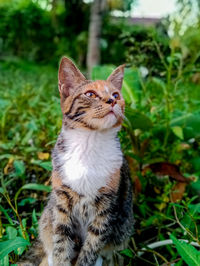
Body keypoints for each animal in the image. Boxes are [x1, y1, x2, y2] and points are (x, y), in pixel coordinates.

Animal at [18, 57, 134, 266]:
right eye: (90, 94)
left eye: (116, 94)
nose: (112, 100)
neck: (89, 143)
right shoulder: (62, 202)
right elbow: (61, 243)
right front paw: (60, 259)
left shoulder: (107, 207)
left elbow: (91, 248)